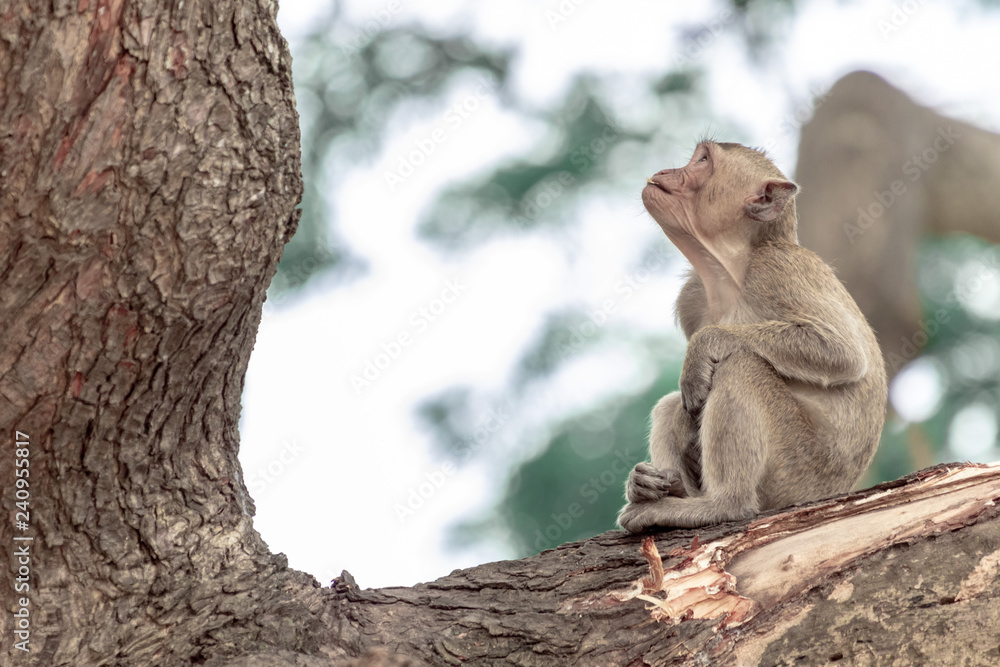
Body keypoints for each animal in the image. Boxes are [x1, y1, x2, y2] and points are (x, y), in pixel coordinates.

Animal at [617, 141, 887, 532]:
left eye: (702, 160)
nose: (666, 171)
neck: (729, 270)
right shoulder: (691, 299)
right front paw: (641, 481)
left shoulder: (775, 270)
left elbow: (843, 353)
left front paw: (703, 347)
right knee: (673, 403)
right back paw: (667, 490)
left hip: (795, 474)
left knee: (742, 366)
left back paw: (721, 505)